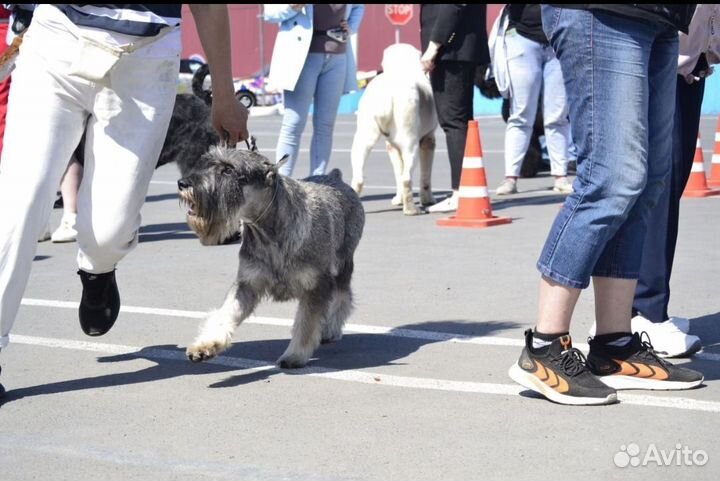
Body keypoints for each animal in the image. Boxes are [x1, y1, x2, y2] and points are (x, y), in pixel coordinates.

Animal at [177, 146, 362, 368]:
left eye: (229, 170)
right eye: (206, 163)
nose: (183, 183)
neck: (267, 232)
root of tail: (335, 177)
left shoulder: (315, 285)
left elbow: (306, 323)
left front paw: (295, 355)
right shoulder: (247, 284)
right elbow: (226, 313)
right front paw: (205, 345)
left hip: (343, 265)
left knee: (342, 297)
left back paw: (330, 329)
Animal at [350, 43, 436, 216]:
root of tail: (386, 96)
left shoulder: (391, 146)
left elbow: (397, 172)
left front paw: (398, 199)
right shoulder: (428, 140)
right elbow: (425, 175)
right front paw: (428, 199)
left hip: (362, 138)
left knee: (359, 177)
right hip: (411, 144)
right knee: (407, 178)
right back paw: (411, 209)